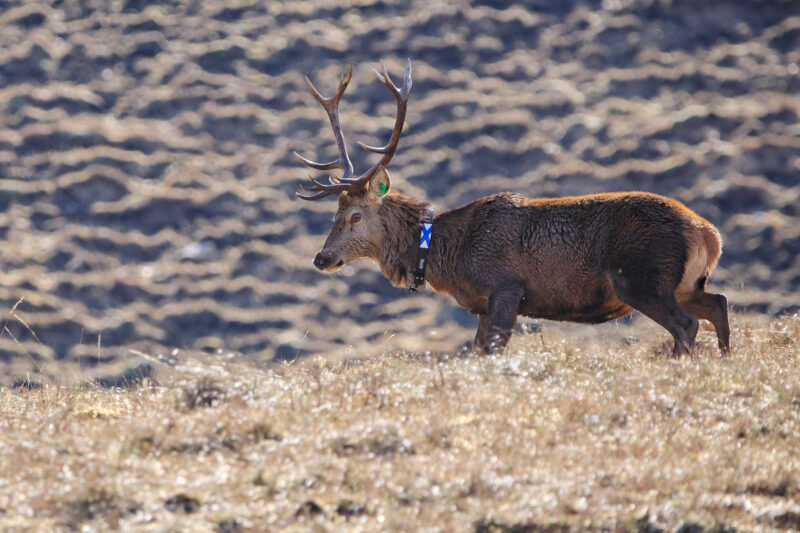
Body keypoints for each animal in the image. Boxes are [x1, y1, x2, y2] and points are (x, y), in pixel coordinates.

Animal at [294, 61, 730, 357]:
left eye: (355, 215)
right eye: (334, 214)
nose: (321, 258)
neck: (447, 256)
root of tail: (708, 233)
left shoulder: (505, 287)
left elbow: (493, 351)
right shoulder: (482, 306)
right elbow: (475, 352)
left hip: (642, 277)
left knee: (686, 325)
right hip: (685, 283)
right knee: (718, 305)